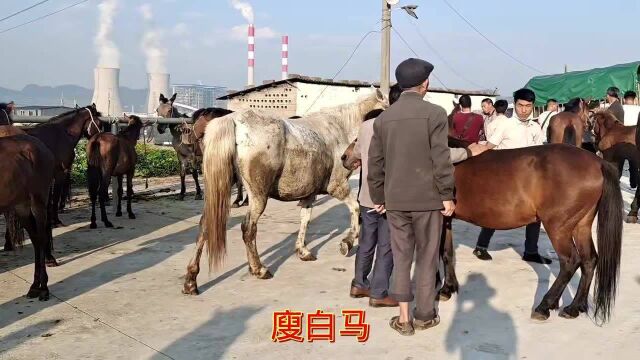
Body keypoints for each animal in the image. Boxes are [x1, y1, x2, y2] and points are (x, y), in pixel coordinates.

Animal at [0, 134, 55, 300]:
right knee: (36, 240)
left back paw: (43, 288)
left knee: (42, 239)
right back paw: (35, 286)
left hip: (38, 203)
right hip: (22, 207)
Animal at [342, 140, 624, 324]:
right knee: (589, 260)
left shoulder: (437, 217)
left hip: (559, 226)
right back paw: (575, 307)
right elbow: (446, 253)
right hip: (581, 224)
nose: (344, 157)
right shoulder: (446, 218)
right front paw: (448, 288)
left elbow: (438, 253)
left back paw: (545, 306)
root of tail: (597, 162)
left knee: (570, 262)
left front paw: (441, 288)